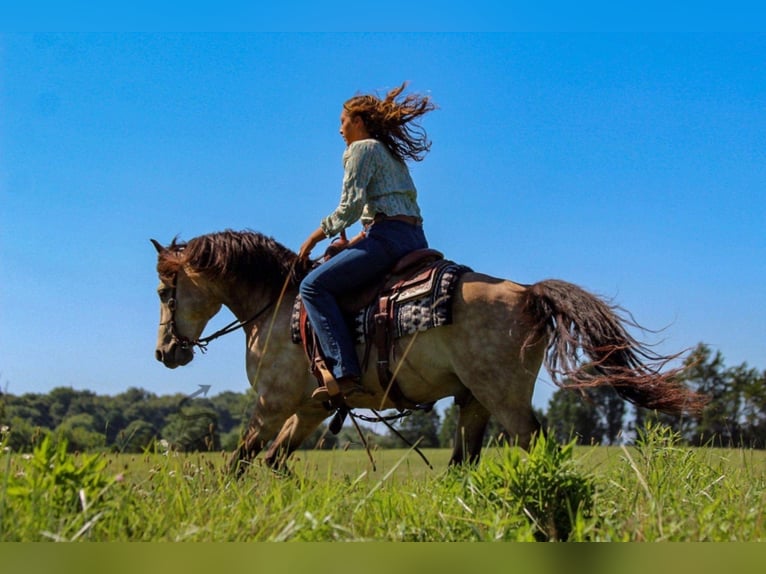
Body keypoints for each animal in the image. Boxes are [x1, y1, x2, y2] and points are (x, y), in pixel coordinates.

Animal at [153, 230, 712, 476]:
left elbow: (240, 461)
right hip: (474, 401)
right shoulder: (309, 408)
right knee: (462, 465)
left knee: (534, 446)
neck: (279, 302)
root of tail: (528, 293)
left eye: (163, 291)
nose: (164, 352)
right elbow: (273, 461)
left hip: (504, 399)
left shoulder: (271, 404)